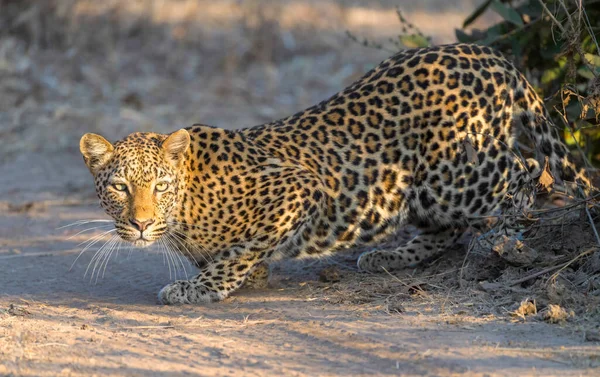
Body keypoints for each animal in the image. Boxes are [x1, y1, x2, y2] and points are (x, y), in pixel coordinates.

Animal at [79, 43, 592, 306]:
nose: (141, 223)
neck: (187, 206)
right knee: (445, 227)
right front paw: (243, 274)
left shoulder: (298, 188)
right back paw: (391, 256)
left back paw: (504, 238)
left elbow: (238, 253)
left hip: (456, 174)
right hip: (426, 191)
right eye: (121, 187)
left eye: (159, 186)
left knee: (527, 172)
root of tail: (486, 54)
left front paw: (201, 288)